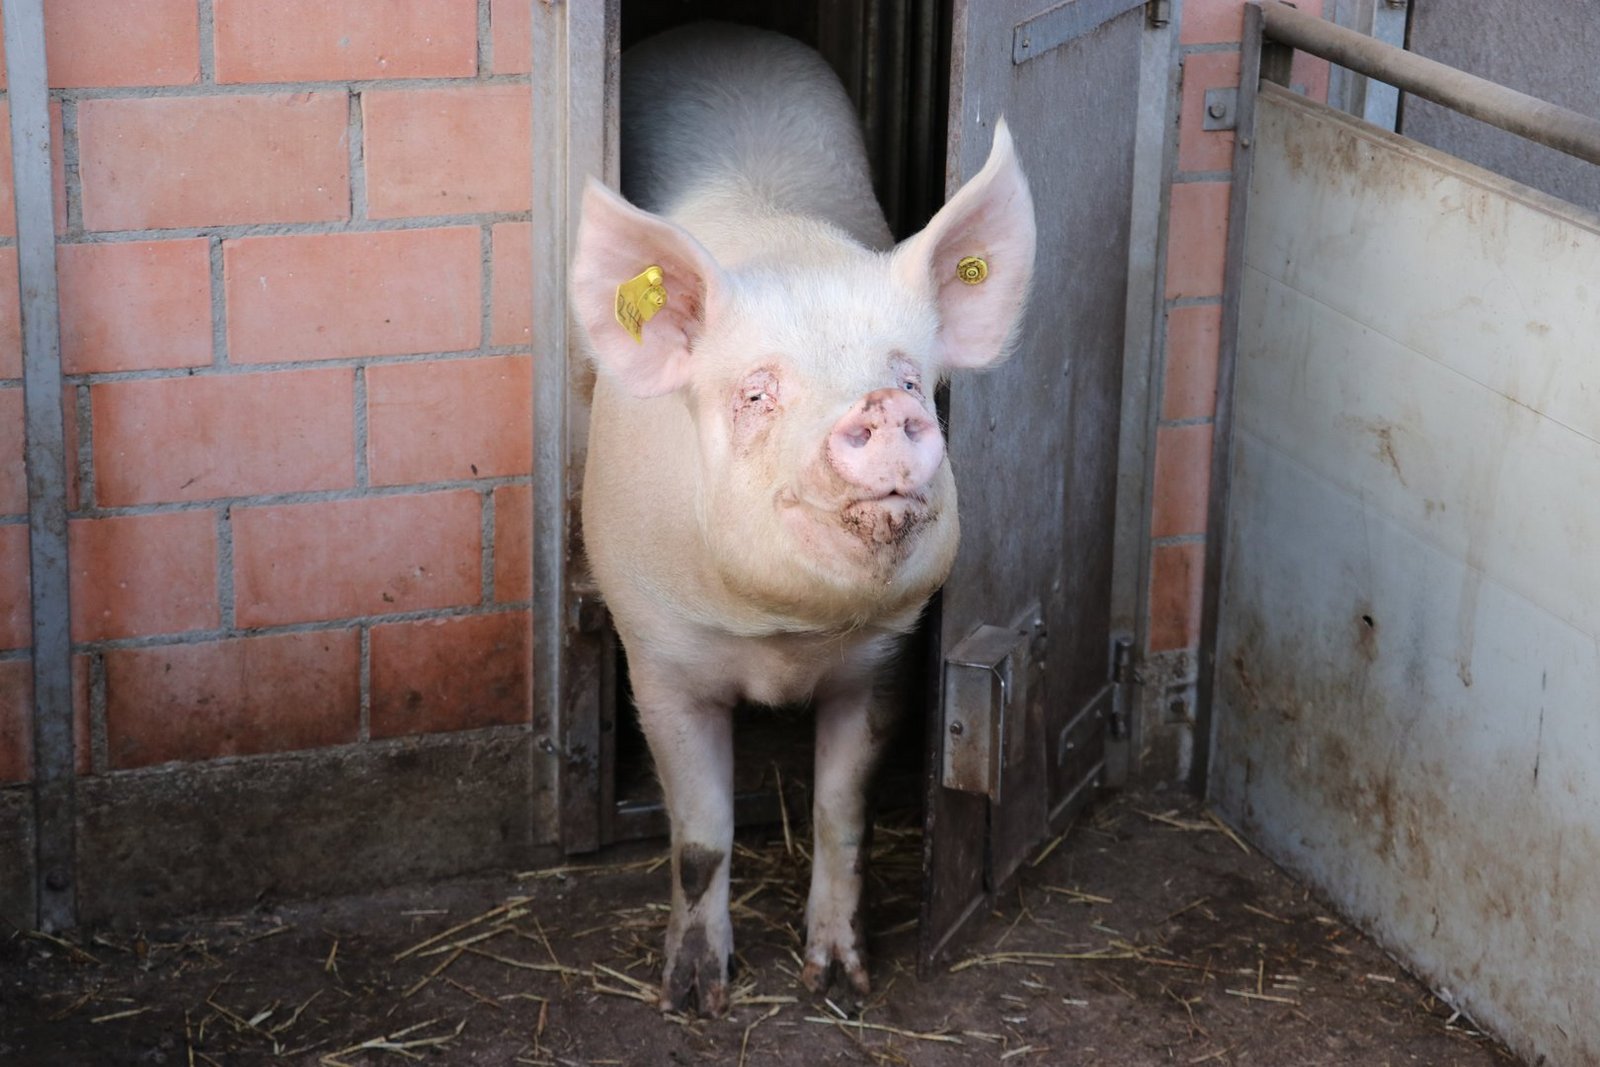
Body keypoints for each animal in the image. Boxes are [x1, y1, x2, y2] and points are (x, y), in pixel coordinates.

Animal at [570, 23, 1035, 1016]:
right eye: (754, 392)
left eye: (912, 379)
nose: (880, 408)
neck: (781, 637)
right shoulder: (655, 653)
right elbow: (700, 834)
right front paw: (694, 998)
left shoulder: (885, 656)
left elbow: (839, 811)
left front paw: (841, 981)